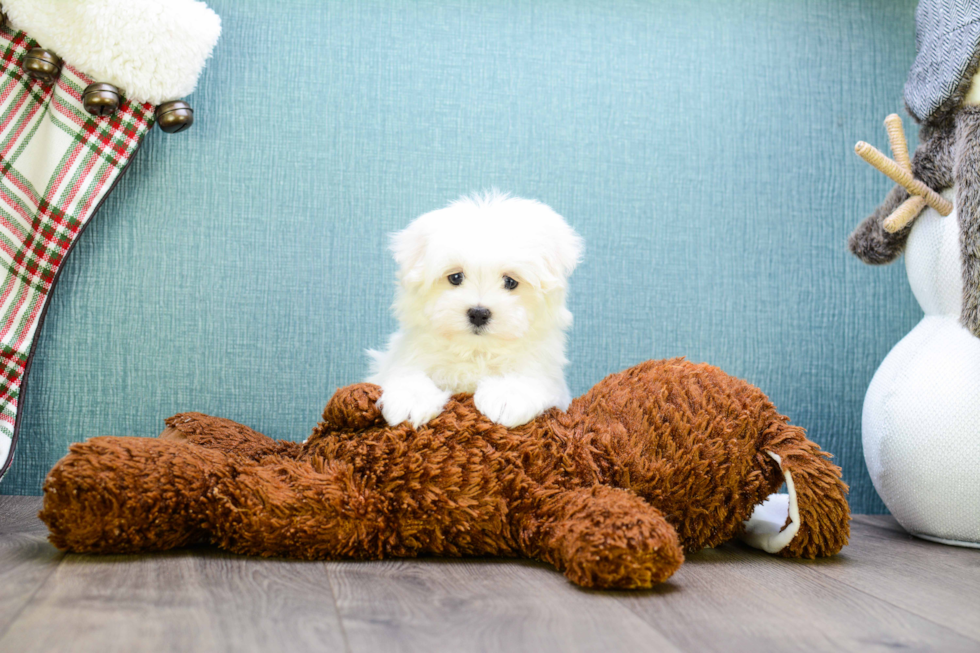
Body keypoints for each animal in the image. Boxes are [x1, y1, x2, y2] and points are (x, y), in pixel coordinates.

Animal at [366, 191, 580, 428]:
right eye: (455, 277)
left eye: (510, 282)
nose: (478, 313)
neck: (477, 352)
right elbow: (407, 373)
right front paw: (411, 399)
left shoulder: (544, 371)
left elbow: (530, 377)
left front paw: (507, 396)